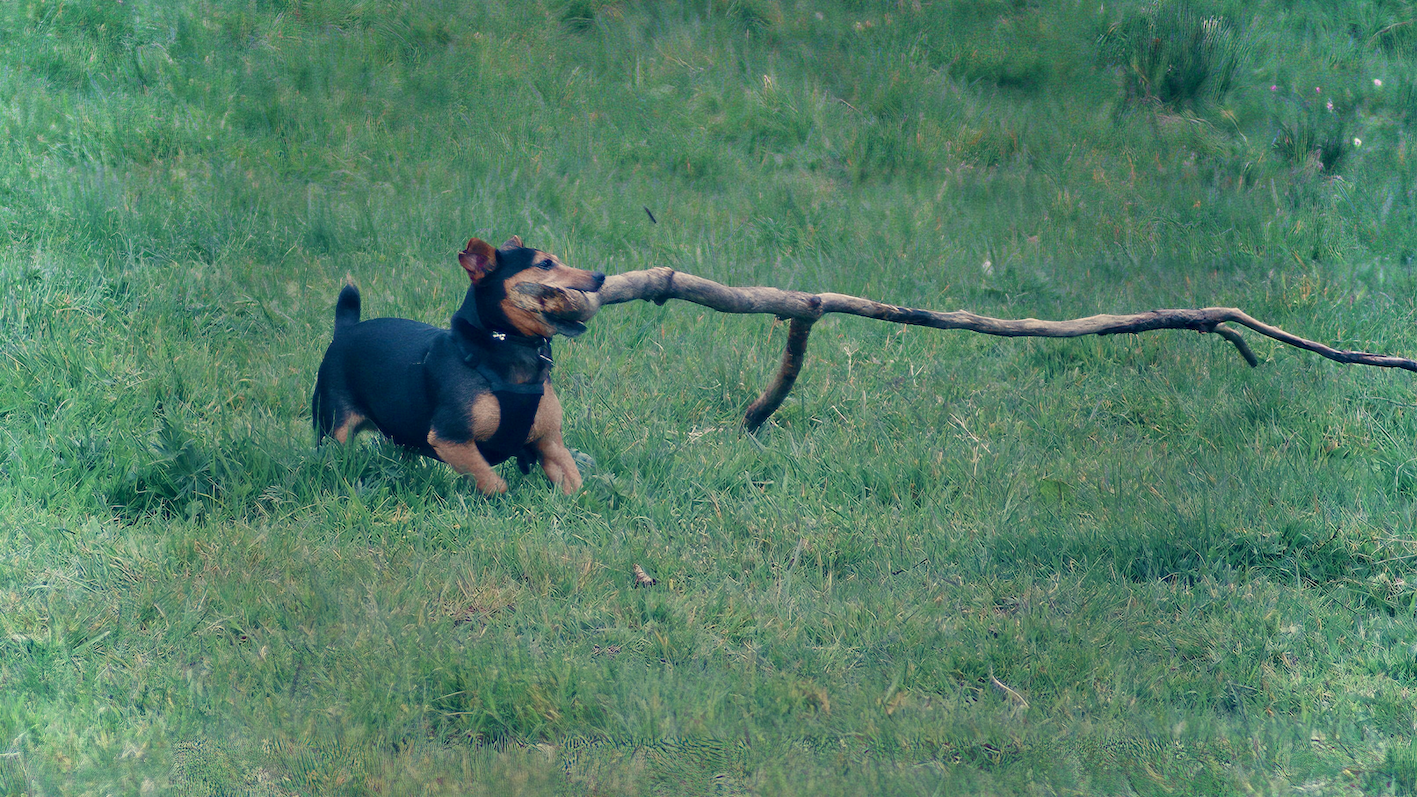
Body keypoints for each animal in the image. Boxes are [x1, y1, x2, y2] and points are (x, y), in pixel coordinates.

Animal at [313, 235, 606, 493]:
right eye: (545, 263)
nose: (600, 276)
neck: (503, 343)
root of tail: (345, 331)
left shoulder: (550, 443)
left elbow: (576, 485)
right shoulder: (451, 438)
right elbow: (493, 483)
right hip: (334, 430)